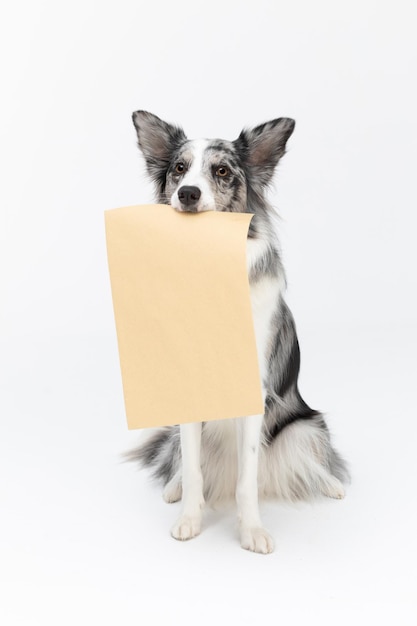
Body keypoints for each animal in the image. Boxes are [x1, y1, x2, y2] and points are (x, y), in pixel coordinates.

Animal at [127, 108, 348, 552]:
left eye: (222, 171)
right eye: (179, 169)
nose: (187, 194)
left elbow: (248, 479)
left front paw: (252, 531)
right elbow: (194, 468)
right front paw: (190, 518)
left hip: (304, 426)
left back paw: (331, 484)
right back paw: (174, 488)